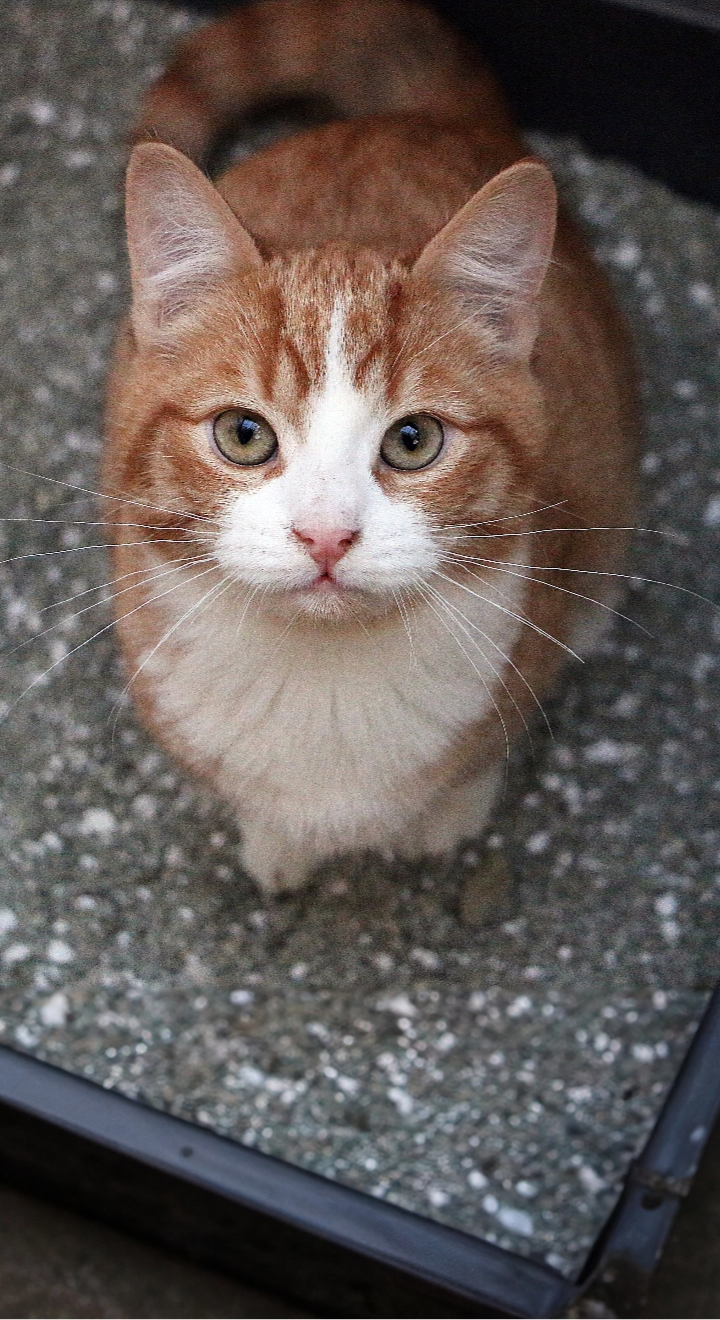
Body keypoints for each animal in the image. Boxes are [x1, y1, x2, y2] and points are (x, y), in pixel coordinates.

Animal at [103, 0, 636, 897]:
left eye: (413, 441)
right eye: (244, 435)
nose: (326, 535)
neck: (324, 684)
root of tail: (424, 117)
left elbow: (485, 749)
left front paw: (449, 814)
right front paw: (276, 839)